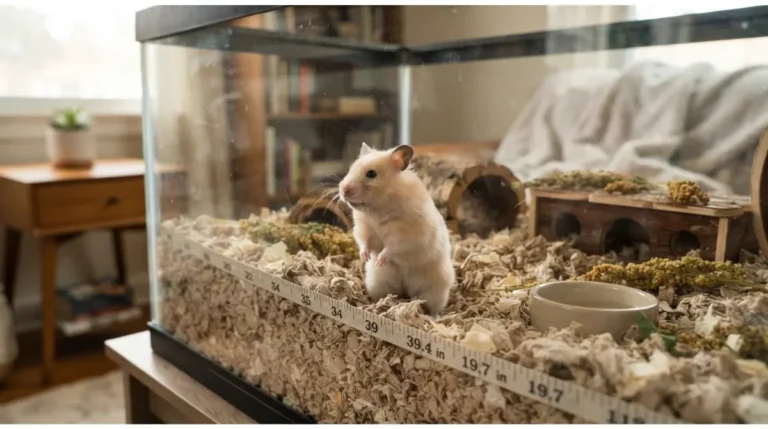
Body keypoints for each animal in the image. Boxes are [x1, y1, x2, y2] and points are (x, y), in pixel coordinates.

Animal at [338, 142, 455, 316]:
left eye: (371, 174)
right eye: (351, 168)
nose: (343, 190)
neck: (377, 208)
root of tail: (406, 289)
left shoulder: (406, 235)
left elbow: (392, 247)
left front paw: (380, 260)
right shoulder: (363, 228)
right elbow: (364, 242)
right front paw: (365, 257)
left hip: (436, 290)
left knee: (433, 306)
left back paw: (435, 317)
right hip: (378, 284)